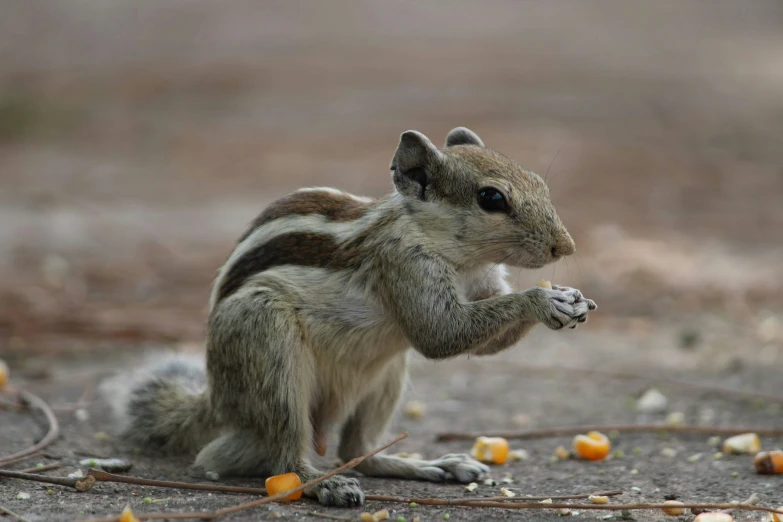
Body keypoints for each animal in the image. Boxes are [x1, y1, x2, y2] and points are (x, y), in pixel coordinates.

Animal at [101, 125, 596, 504]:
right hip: (268, 350)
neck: (460, 258)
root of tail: (218, 401)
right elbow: (440, 334)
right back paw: (323, 485)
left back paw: (429, 465)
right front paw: (542, 300)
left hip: (385, 375)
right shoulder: (403, 264)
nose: (565, 247)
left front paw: (570, 299)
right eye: (491, 198)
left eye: (539, 182)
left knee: (358, 450)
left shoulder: (483, 282)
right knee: (281, 455)